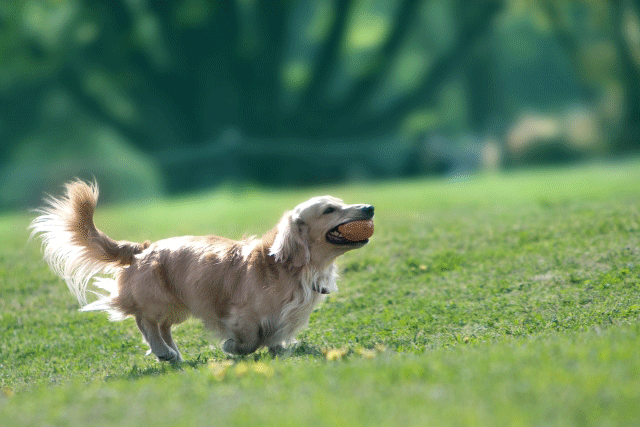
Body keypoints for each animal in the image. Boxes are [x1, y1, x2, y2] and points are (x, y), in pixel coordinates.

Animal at [30, 180, 376, 362]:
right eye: (329, 210)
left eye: (342, 202)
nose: (369, 208)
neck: (287, 267)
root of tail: (141, 249)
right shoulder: (241, 315)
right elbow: (250, 339)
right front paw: (232, 348)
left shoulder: (284, 317)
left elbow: (275, 337)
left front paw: (279, 350)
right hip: (158, 301)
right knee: (145, 322)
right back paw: (163, 352)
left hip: (178, 306)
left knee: (162, 327)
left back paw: (171, 352)